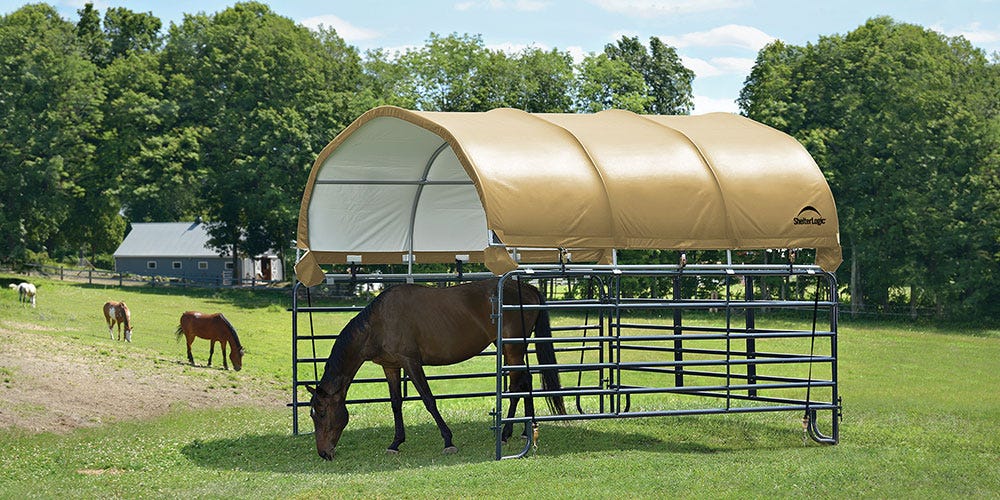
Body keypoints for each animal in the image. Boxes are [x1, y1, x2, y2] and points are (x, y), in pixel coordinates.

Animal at [306, 278, 564, 460]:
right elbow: (396, 403)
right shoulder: (391, 367)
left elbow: (428, 400)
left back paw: (505, 433)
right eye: (313, 415)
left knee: (517, 384)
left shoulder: (411, 363)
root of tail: (528, 288)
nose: (323, 453)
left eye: (321, 413)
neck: (378, 322)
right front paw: (395, 443)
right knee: (525, 380)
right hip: (513, 349)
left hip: (513, 348)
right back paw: (525, 430)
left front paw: (448, 441)